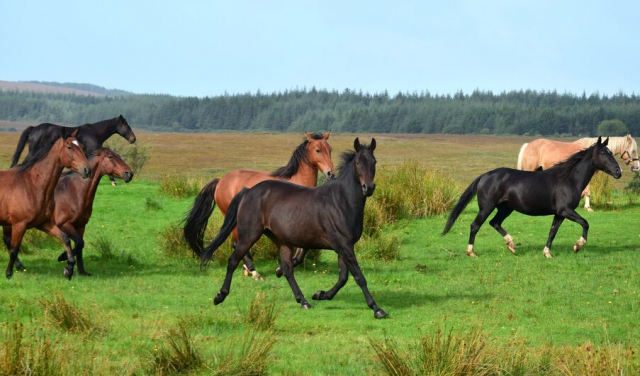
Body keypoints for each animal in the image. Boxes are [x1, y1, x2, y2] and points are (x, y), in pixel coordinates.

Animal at [0, 129, 90, 280]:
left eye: (82, 147)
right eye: (69, 147)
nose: (87, 170)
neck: (31, 185)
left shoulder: (43, 223)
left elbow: (66, 239)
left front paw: (68, 268)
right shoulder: (19, 224)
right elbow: (14, 249)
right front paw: (8, 274)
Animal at [184, 131, 336, 280]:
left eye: (330, 149)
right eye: (318, 150)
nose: (331, 173)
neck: (298, 182)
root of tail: (220, 180)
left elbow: (301, 252)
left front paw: (281, 268)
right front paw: (279, 269)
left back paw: (247, 270)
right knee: (238, 244)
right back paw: (254, 272)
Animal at [198, 137, 388, 318]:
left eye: (374, 162)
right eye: (358, 163)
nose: (368, 188)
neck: (341, 201)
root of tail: (248, 190)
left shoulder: (344, 246)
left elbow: (343, 278)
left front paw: (320, 294)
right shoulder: (343, 245)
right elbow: (358, 276)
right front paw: (377, 309)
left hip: (281, 240)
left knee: (288, 270)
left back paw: (303, 301)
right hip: (249, 234)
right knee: (233, 260)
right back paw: (220, 295)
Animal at [444, 137, 620, 258]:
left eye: (611, 153)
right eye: (603, 153)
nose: (619, 172)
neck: (568, 179)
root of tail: (485, 176)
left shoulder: (559, 213)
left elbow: (553, 231)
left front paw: (547, 253)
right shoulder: (566, 210)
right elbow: (585, 223)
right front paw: (578, 246)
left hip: (506, 208)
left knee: (494, 223)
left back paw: (511, 245)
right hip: (487, 207)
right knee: (475, 225)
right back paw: (471, 252)